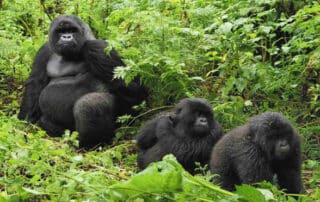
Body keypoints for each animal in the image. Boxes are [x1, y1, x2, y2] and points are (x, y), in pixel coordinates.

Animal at [17, 15, 148, 148]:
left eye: (72, 30)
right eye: (61, 31)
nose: (66, 37)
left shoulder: (98, 48)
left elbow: (134, 92)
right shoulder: (44, 50)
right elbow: (35, 85)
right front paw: (25, 124)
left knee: (89, 104)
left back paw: (89, 143)